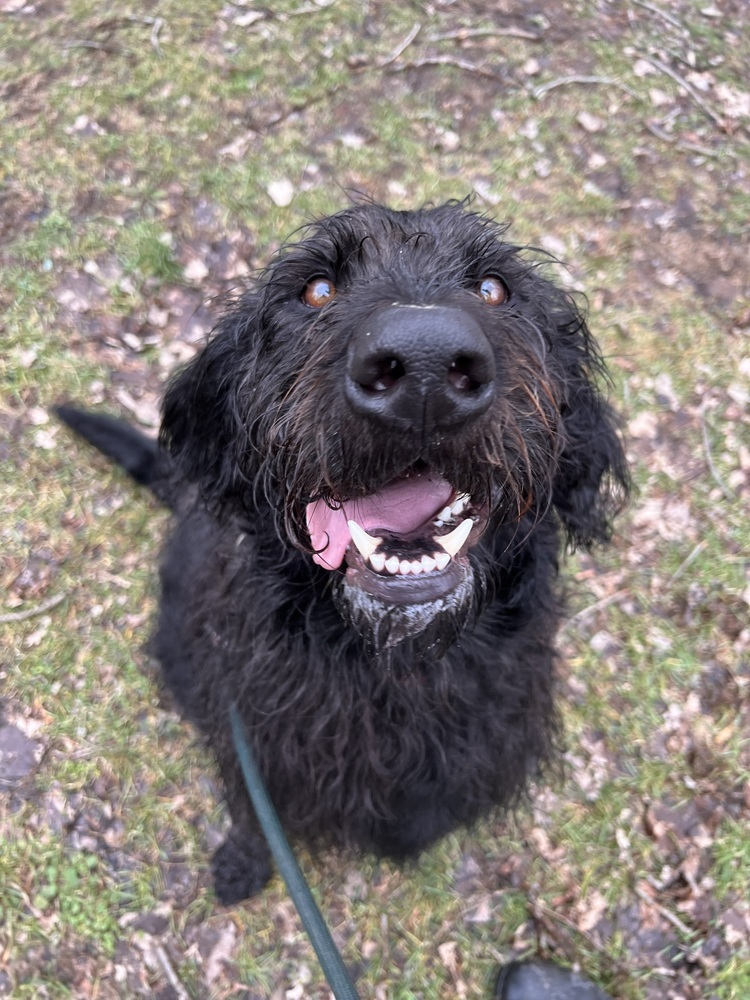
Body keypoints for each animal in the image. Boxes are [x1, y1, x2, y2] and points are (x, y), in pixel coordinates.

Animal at [57, 199, 628, 904]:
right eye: (317, 288)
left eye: (495, 288)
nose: (425, 363)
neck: (393, 675)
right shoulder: (254, 740)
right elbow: (252, 812)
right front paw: (242, 864)